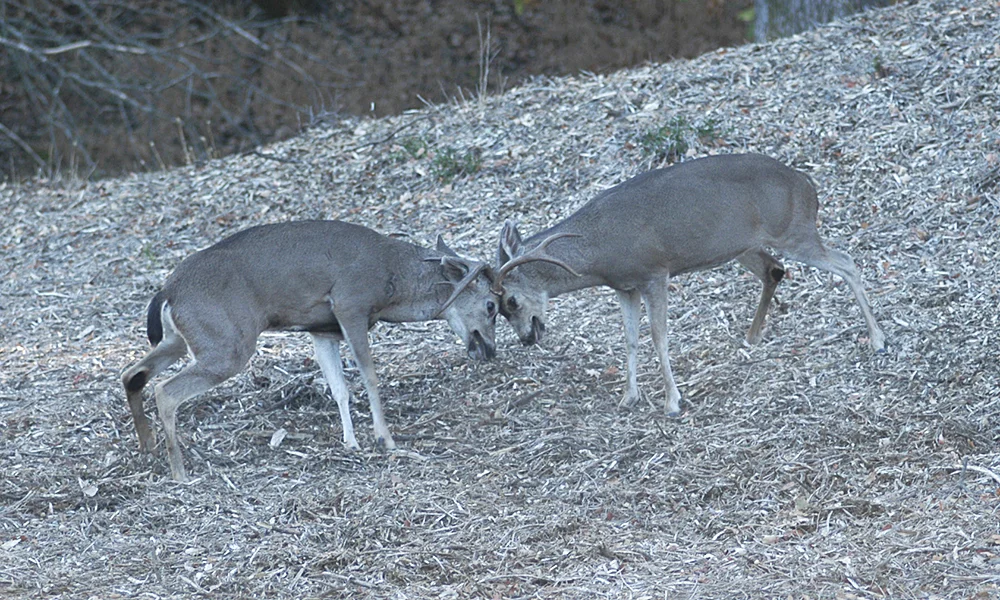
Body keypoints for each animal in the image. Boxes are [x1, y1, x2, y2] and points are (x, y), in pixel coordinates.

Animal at [121, 220, 499, 481]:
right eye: (493, 305)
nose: (491, 350)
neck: (392, 279)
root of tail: (167, 292)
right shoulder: (350, 303)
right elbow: (370, 376)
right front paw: (385, 440)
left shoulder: (322, 330)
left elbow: (340, 389)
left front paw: (351, 443)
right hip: (227, 343)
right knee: (165, 390)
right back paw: (179, 472)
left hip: (182, 339)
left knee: (132, 373)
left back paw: (147, 448)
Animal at [491, 153, 886, 416]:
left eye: (509, 301)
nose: (526, 338)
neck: (598, 251)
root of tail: (807, 184)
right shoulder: (624, 286)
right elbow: (630, 339)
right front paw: (628, 397)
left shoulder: (654, 272)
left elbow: (659, 337)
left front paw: (672, 402)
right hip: (745, 246)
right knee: (775, 269)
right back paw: (752, 336)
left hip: (793, 230)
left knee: (847, 263)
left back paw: (878, 340)